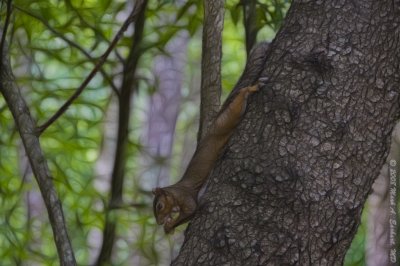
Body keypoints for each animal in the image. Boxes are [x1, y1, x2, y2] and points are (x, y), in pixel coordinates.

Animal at [152, 83, 258, 233]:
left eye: (159, 206)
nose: (159, 222)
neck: (174, 192)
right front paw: (168, 227)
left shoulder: (184, 196)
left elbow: (191, 209)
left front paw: (169, 224)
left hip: (223, 124)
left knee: (233, 111)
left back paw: (248, 90)